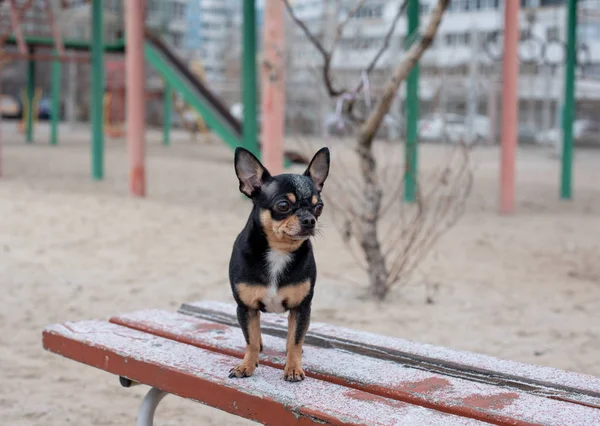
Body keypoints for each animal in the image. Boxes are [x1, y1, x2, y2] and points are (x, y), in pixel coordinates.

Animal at [229, 147, 330, 382]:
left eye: (319, 207)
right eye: (283, 205)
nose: (309, 220)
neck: (279, 251)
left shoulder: (301, 309)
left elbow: (295, 340)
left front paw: (293, 368)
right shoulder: (245, 308)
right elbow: (251, 340)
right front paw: (246, 365)